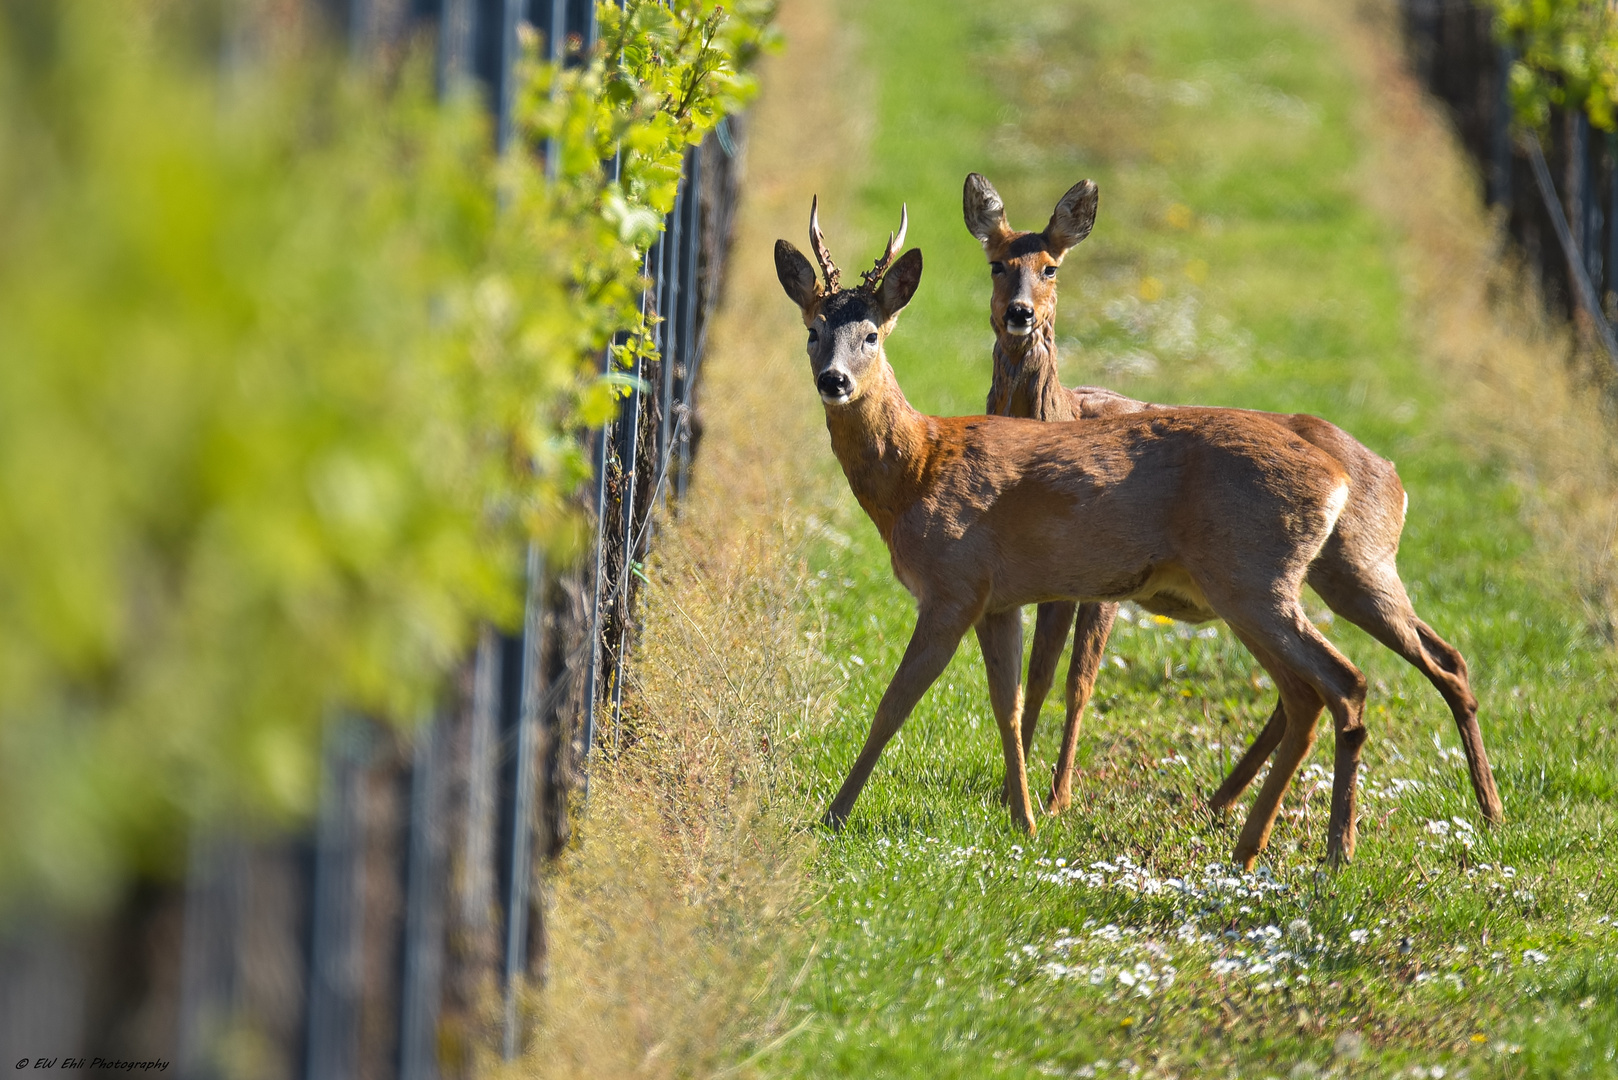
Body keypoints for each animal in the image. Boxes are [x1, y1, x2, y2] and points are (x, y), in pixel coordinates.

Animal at [773, 198, 1378, 867]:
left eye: (872, 334)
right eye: (812, 331)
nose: (833, 380)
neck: (919, 468)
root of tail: (1336, 476)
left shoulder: (951, 582)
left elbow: (892, 704)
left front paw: (832, 816)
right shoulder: (996, 598)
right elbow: (1007, 705)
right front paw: (1024, 819)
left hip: (1252, 574)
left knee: (1338, 683)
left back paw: (1322, 851)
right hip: (1251, 583)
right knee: (1308, 694)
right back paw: (1265, 848)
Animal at [957, 169, 1501, 835]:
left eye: (1051, 266)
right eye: (996, 264)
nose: (1020, 313)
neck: (1059, 414)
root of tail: (1393, 478)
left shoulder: (1101, 584)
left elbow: (1074, 679)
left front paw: (1052, 797)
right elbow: (1035, 677)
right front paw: (1018, 789)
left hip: (1355, 565)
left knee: (1431, 663)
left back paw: (1488, 808)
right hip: (1329, 576)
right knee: (1386, 666)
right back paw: (1224, 800)